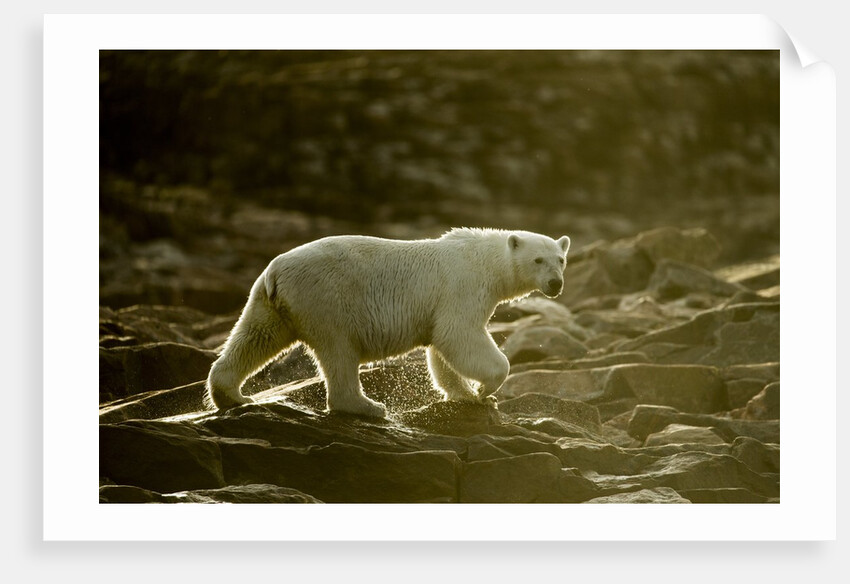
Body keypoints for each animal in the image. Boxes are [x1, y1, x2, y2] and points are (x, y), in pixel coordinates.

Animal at [206, 227, 571, 417]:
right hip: (327, 298)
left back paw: (233, 396)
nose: (556, 284)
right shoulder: (463, 286)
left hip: (270, 302)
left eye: (561, 259)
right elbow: (458, 334)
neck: (486, 260)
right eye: (538, 260)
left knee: (255, 337)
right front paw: (486, 389)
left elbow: (442, 348)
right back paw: (367, 405)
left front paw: (467, 395)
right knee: (339, 350)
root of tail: (275, 270)